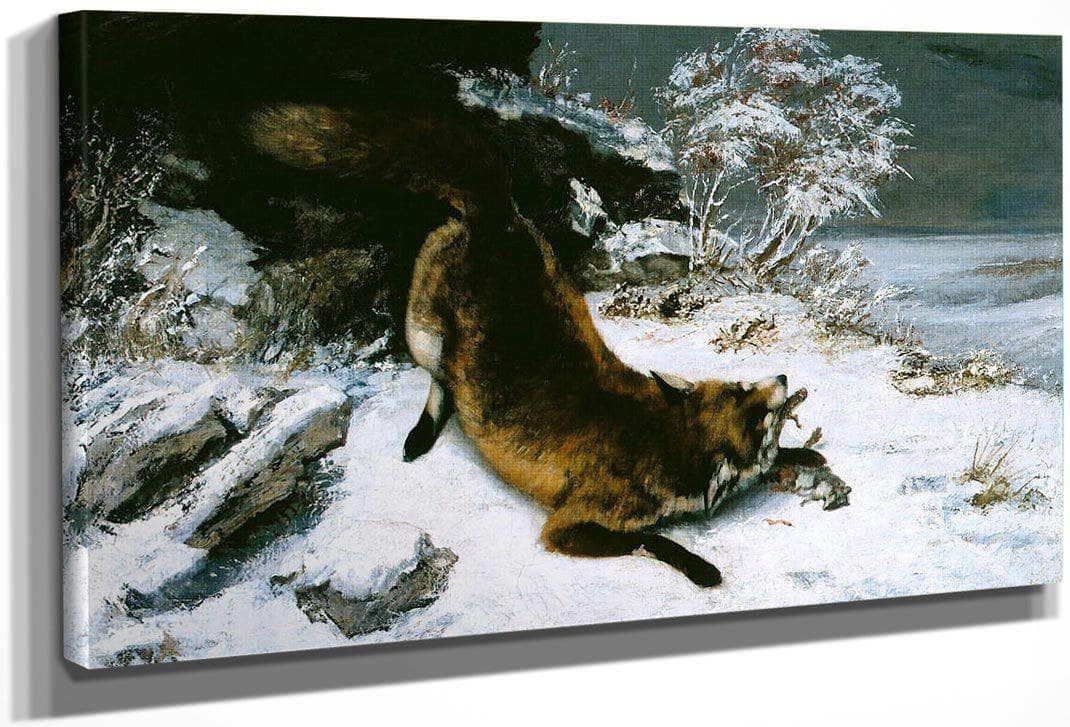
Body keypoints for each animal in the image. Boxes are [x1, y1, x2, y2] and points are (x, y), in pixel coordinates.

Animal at [247, 100, 822, 587]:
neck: (660, 435)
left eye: (750, 391)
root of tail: (497, 211)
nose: (784, 377)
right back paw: (422, 434)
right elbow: (652, 542)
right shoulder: (567, 525)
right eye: (758, 412)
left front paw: (806, 455)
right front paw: (701, 568)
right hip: (422, 334)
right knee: (439, 382)